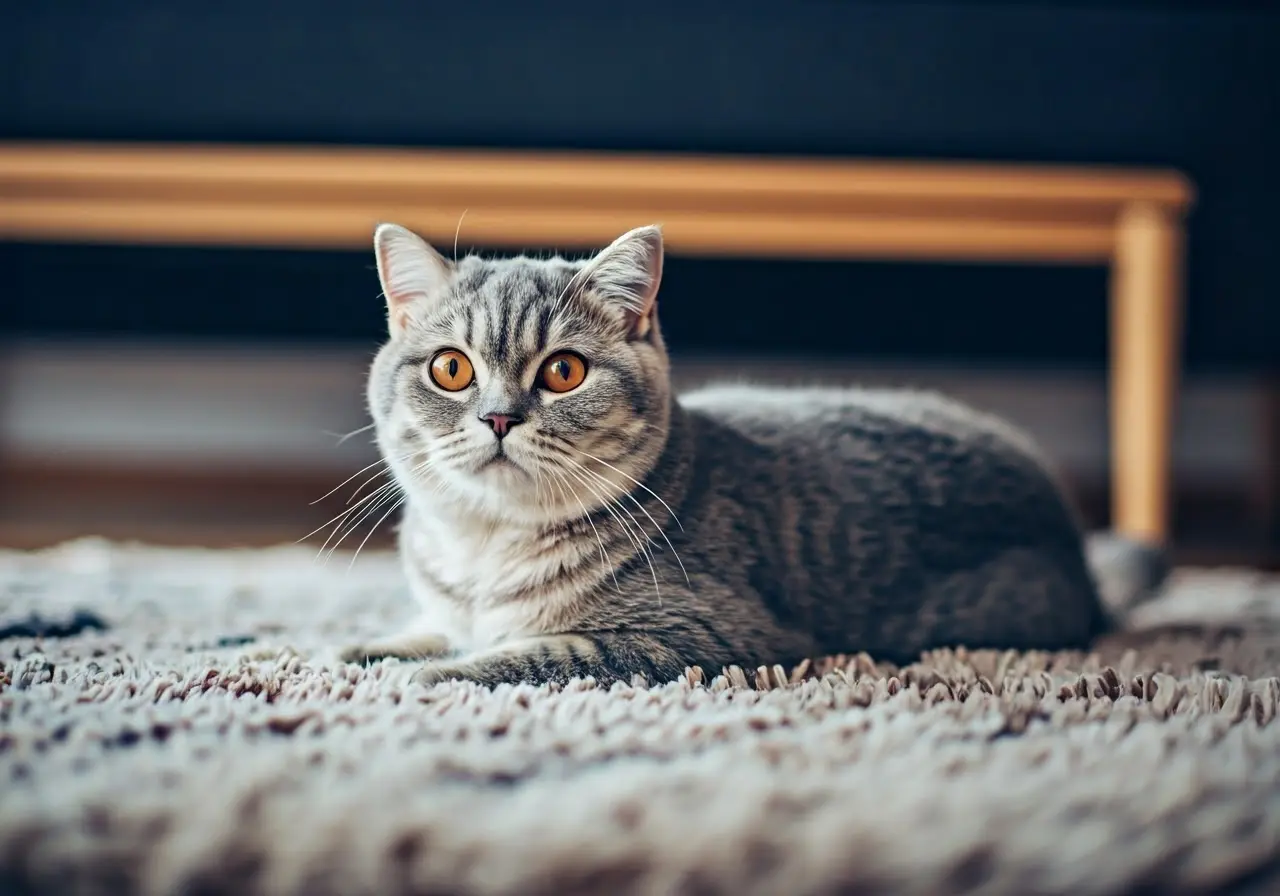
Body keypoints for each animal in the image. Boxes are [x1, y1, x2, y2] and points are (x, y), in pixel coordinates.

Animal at [343, 222, 1172, 686]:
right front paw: (365, 650)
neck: (485, 549)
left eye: (564, 371)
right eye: (452, 369)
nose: (498, 417)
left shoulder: (705, 635)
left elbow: (535, 652)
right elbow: (425, 633)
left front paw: (428, 676)